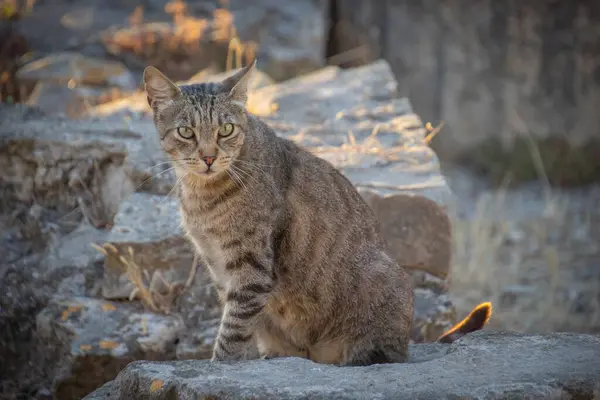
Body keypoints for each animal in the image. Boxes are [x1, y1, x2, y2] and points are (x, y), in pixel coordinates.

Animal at [145, 60, 492, 366]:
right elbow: (242, 325)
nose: (208, 157)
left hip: (381, 281)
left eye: (226, 129)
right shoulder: (218, 266)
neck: (202, 194)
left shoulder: (250, 264)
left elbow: (234, 329)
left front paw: (220, 364)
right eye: (186, 132)